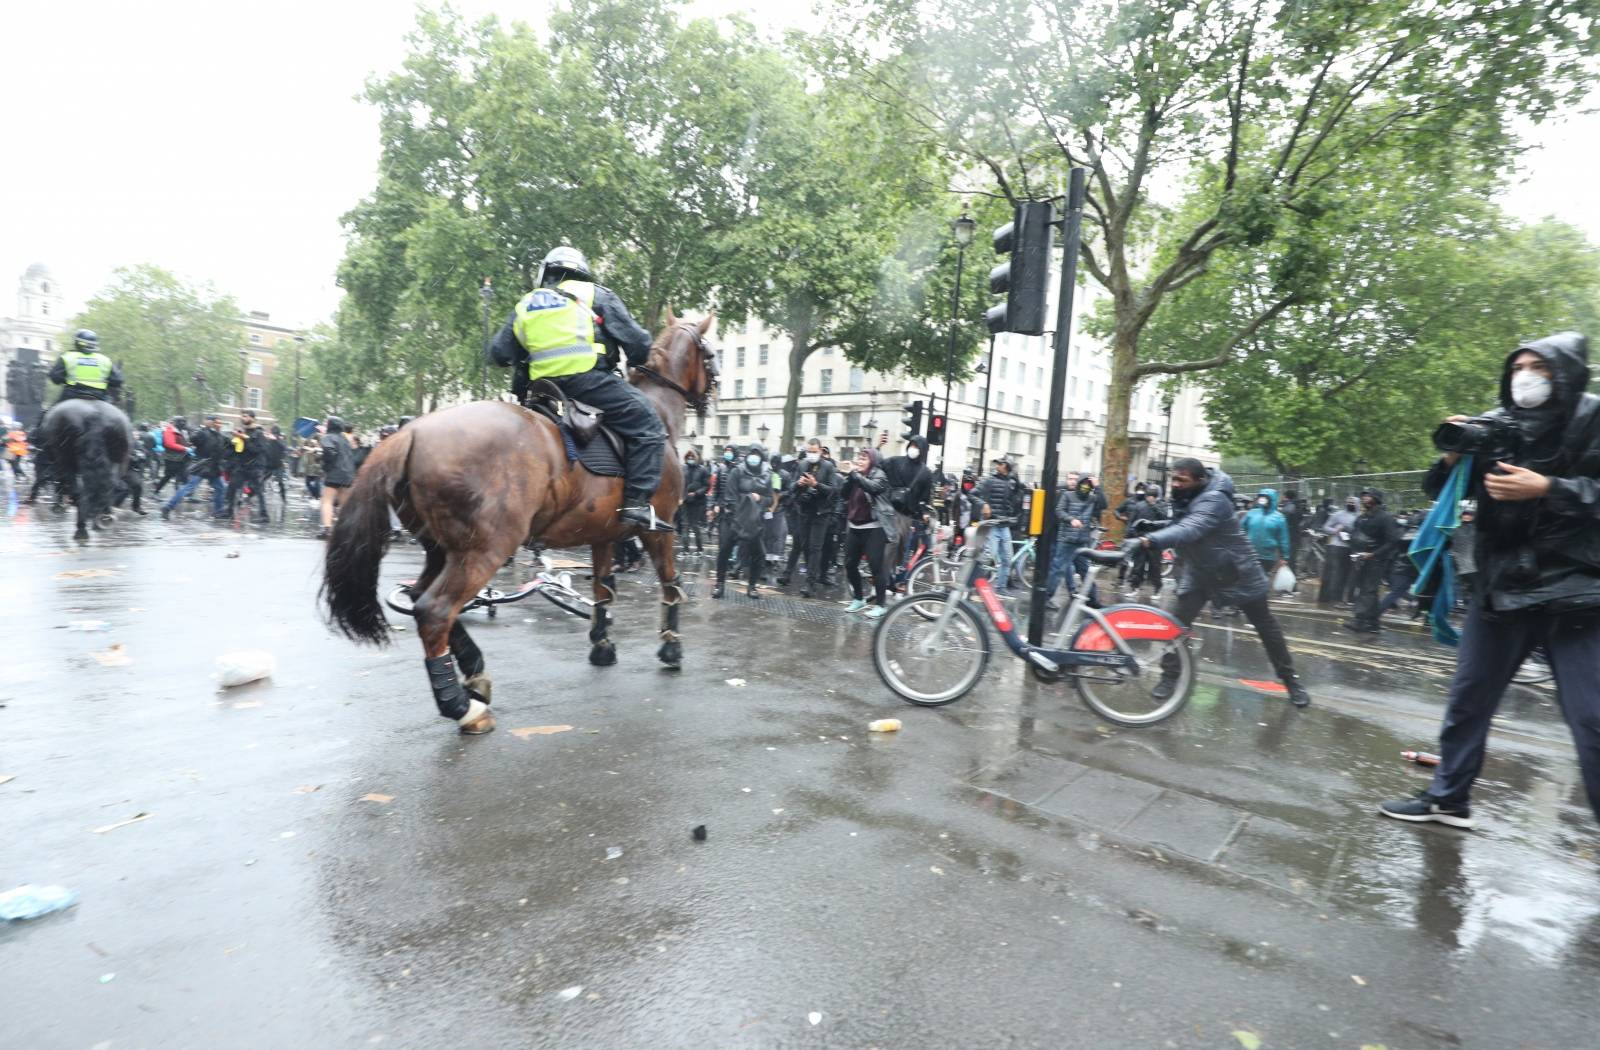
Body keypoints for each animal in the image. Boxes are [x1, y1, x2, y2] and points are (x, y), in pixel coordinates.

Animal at [37, 395, 131, 537]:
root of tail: (95, 416)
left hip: (65, 460)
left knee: (77, 489)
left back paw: (81, 526)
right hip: (116, 462)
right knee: (109, 486)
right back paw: (101, 518)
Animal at [320, 308, 720, 729]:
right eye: (711, 353)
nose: (711, 398)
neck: (657, 414)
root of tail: (411, 432)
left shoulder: (603, 534)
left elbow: (602, 589)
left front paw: (602, 645)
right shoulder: (660, 529)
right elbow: (671, 583)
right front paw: (671, 648)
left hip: (442, 547)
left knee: (419, 597)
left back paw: (475, 671)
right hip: (486, 547)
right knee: (435, 610)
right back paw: (461, 706)